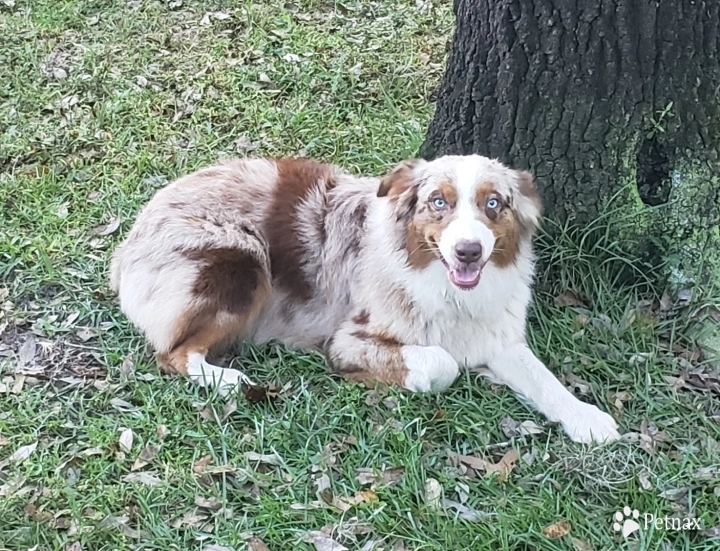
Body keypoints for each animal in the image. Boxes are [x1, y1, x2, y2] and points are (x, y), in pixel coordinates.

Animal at [111, 154, 620, 444]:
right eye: (439, 202)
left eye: (493, 203)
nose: (468, 251)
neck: (447, 291)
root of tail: (127, 243)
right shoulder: (348, 340)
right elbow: (442, 363)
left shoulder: (499, 337)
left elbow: (544, 380)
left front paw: (587, 418)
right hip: (242, 261)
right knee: (173, 354)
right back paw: (230, 380)